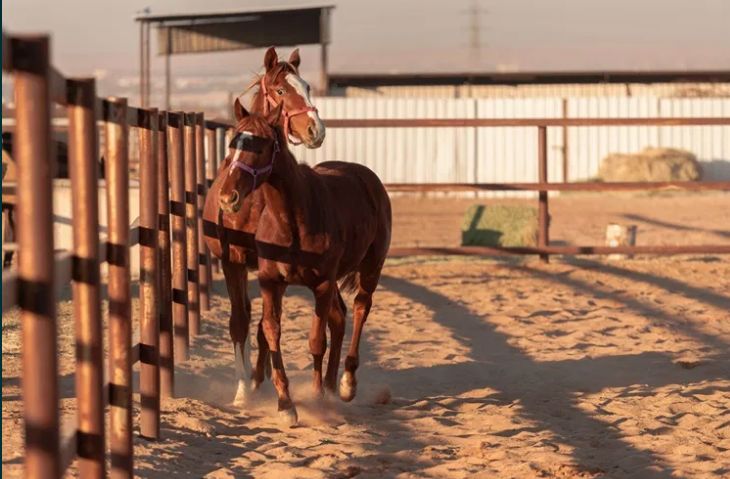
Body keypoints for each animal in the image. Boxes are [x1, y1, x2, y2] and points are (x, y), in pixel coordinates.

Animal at [200, 47, 322, 408]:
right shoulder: (234, 261)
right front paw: (242, 390)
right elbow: (240, 321)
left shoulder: (272, 268)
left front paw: (260, 379)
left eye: (307, 87)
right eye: (281, 90)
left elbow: (263, 326)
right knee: (243, 313)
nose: (316, 130)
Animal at [213, 103, 390, 426]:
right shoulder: (272, 283)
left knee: (360, 308)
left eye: (260, 146)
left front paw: (317, 398)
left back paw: (345, 384)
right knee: (339, 317)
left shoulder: (321, 284)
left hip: (372, 267)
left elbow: (316, 341)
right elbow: (271, 330)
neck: (292, 219)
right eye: (233, 144)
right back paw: (331, 387)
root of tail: (366, 176)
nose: (227, 197)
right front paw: (286, 403)